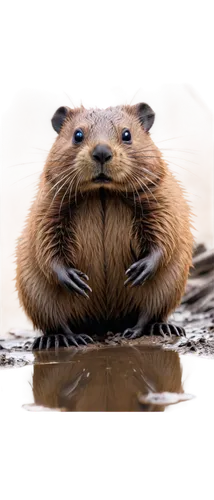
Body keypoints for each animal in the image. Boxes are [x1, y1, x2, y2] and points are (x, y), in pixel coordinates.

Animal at [16, 89, 194, 348]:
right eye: (78, 134)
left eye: (127, 134)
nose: (101, 152)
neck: (102, 193)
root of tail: (105, 323)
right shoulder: (49, 204)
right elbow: (45, 244)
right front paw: (75, 280)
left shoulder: (159, 197)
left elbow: (165, 233)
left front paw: (139, 270)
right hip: (38, 295)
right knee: (59, 322)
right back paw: (65, 339)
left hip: (168, 286)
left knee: (148, 313)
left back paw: (153, 329)